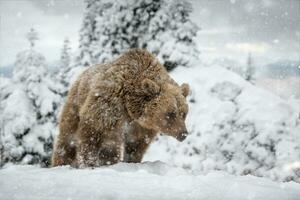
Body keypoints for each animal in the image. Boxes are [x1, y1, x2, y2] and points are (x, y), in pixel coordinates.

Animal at [50, 48, 189, 167]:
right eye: (171, 113)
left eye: (184, 113)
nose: (183, 133)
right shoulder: (109, 105)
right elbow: (95, 132)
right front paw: (92, 162)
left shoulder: (141, 127)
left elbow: (136, 145)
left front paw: (131, 160)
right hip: (75, 104)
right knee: (68, 137)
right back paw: (61, 162)